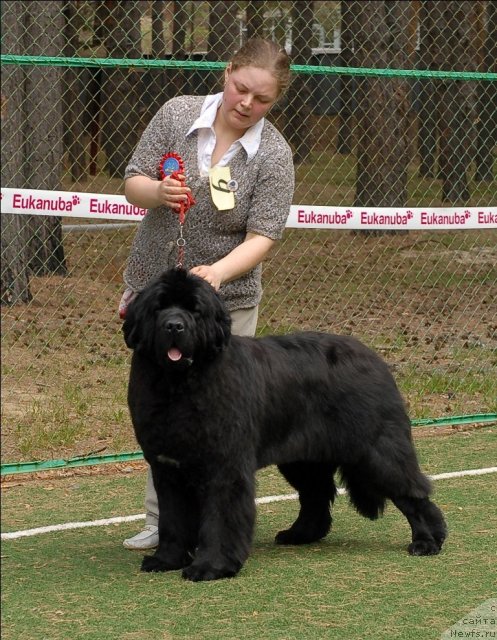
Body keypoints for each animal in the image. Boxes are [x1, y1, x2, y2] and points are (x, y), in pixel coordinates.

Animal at [123, 268, 446, 584]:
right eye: (159, 308)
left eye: (194, 310)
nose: (174, 326)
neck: (178, 386)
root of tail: (375, 358)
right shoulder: (167, 468)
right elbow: (172, 519)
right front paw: (166, 560)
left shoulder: (225, 467)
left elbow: (220, 519)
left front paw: (211, 567)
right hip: (303, 457)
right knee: (316, 494)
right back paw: (300, 534)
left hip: (375, 451)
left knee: (411, 491)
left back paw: (428, 540)